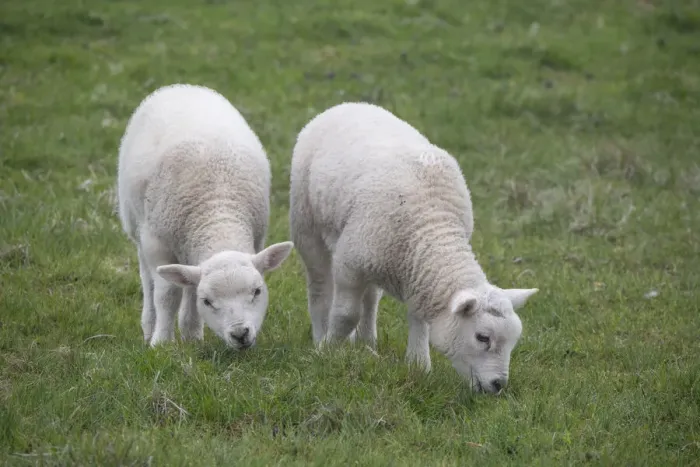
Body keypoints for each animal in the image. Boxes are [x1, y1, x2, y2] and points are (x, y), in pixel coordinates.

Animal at [117, 84, 293, 349]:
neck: (217, 211)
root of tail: (181, 87)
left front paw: (190, 338)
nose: (240, 334)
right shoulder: (157, 244)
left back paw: (190, 332)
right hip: (136, 226)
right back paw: (149, 327)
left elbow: (189, 288)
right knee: (148, 279)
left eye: (257, 291)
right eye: (208, 301)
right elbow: (167, 294)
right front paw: (161, 343)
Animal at [289, 102, 538, 393]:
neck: (432, 226)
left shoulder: (416, 272)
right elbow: (345, 314)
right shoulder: (349, 266)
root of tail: (349, 104)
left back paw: (367, 341)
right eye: (482, 337)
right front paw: (329, 350)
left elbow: (418, 317)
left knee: (371, 297)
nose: (498, 385)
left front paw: (419, 364)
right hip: (307, 224)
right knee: (319, 285)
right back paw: (321, 335)